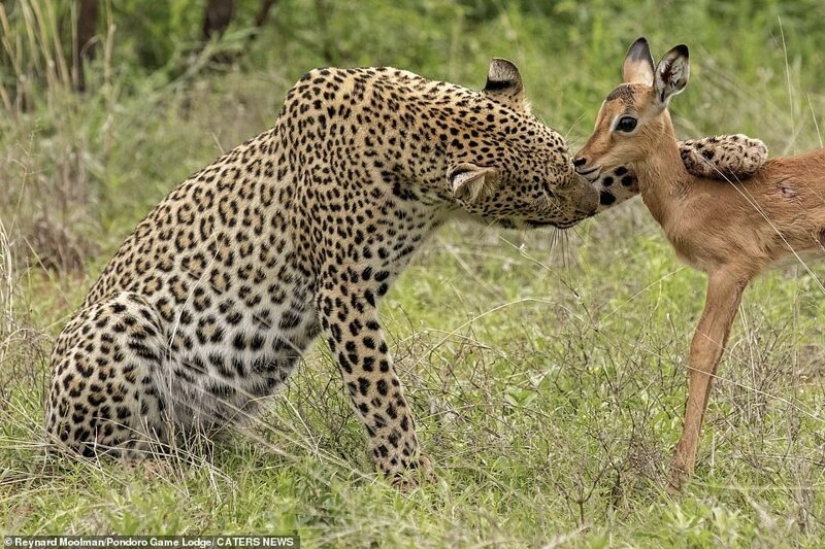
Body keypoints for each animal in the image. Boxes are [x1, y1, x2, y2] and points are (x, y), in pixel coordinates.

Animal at [44, 58, 768, 488]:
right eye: (537, 188)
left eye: (569, 159)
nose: (585, 202)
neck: (405, 136)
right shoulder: (343, 294)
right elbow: (384, 397)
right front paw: (416, 484)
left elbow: (637, 166)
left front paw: (734, 149)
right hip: (119, 323)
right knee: (97, 459)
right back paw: (151, 474)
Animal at [573, 37, 825, 491]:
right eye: (602, 112)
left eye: (626, 121)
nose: (580, 160)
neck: (688, 196)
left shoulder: (729, 273)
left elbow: (703, 353)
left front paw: (679, 475)